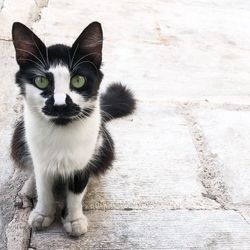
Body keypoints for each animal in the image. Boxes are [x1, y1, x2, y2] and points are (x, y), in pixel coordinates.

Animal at [10, 21, 135, 236]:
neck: (61, 131)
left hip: (105, 146)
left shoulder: (84, 158)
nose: (60, 104)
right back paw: (28, 189)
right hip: (19, 136)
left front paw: (73, 218)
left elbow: (76, 191)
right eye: (41, 81)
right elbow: (44, 188)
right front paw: (43, 213)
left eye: (78, 80)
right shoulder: (40, 159)